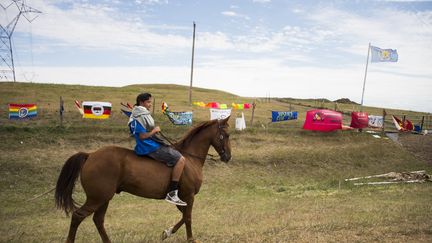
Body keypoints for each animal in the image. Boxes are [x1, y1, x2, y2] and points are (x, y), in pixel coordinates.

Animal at [55, 117, 231, 242]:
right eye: (227, 135)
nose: (228, 157)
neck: (189, 158)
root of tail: (90, 155)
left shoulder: (182, 199)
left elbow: (183, 216)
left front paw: (166, 233)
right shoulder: (188, 195)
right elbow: (187, 218)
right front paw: (190, 239)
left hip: (103, 198)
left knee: (98, 220)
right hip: (97, 198)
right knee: (78, 216)